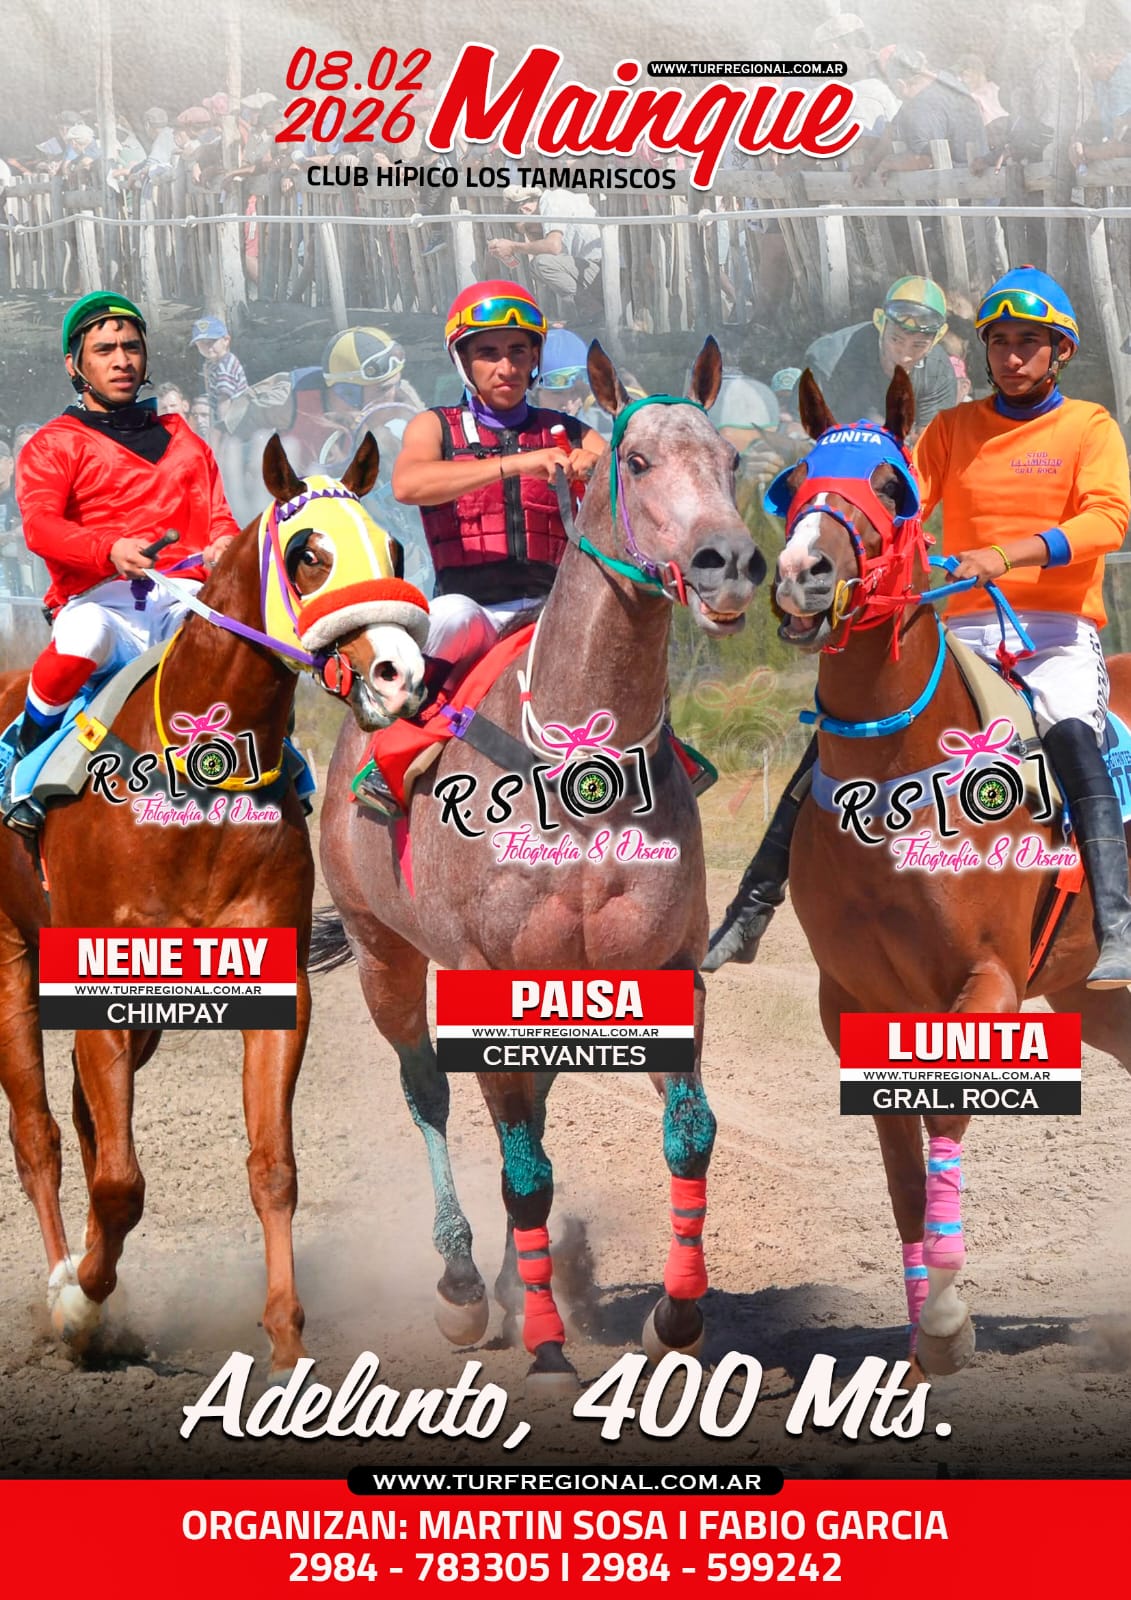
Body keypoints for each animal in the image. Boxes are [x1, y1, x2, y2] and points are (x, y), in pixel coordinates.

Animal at [0, 433, 426, 1380]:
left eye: (396, 548)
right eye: (308, 555)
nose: (401, 676)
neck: (193, 782)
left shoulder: (271, 987)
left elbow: (273, 1167)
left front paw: (287, 1344)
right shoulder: (100, 985)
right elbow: (121, 1182)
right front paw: (80, 1306)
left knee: (83, 1121)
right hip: (9, 960)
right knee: (39, 1133)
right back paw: (62, 1280)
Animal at [313, 338, 766, 1388]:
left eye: (729, 459)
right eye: (635, 460)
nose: (728, 563)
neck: (578, 773)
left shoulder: (663, 968)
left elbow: (690, 1137)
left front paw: (676, 1317)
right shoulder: (485, 977)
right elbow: (521, 1171)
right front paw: (548, 1341)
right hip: (381, 953)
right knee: (428, 1093)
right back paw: (463, 1286)